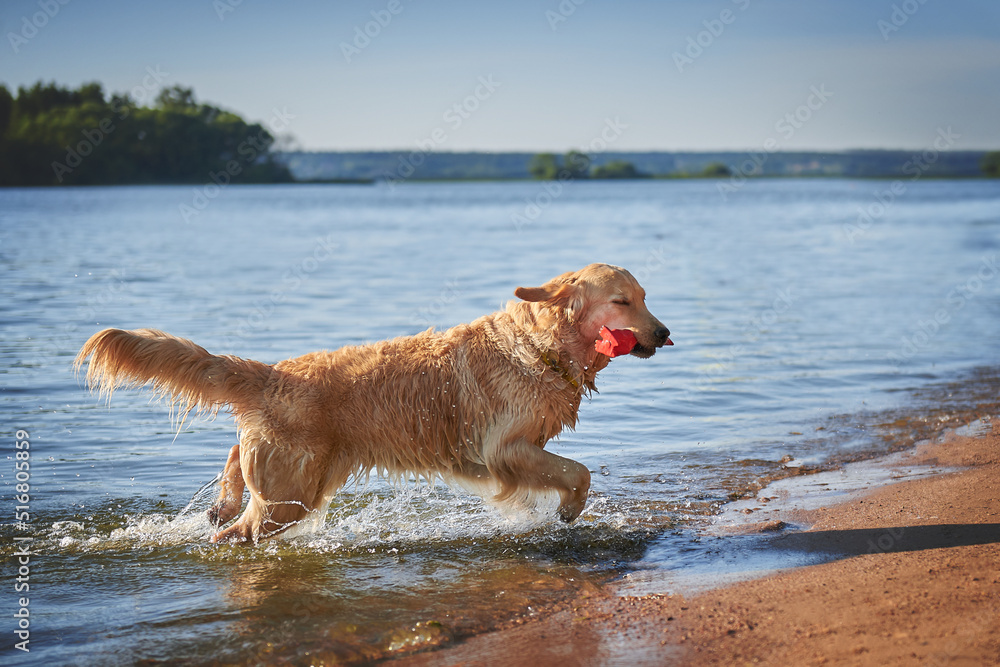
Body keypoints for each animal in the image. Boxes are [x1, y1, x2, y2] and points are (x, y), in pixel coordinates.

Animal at [74, 264, 672, 544]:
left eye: (645, 297)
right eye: (622, 301)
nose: (664, 333)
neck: (539, 346)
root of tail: (269, 373)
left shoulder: (516, 451)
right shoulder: (504, 448)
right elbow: (578, 471)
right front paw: (567, 510)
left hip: (282, 478)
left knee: (232, 470)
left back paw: (221, 500)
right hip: (288, 499)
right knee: (235, 533)